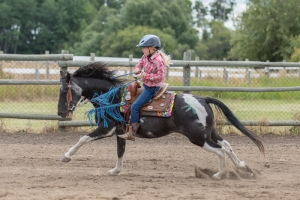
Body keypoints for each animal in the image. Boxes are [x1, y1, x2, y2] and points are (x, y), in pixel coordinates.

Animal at [57, 62, 264, 180]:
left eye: (64, 90)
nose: (60, 112)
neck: (113, 97)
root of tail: (202, 99)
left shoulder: (106, 128)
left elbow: (83, 139)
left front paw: (66, 156)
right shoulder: (120, 132)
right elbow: (120, 151)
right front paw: (115, 171)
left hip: (199, 137)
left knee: (220, 150)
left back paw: (220, 174)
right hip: (209, 132)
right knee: (226, 145)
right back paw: (243, 167)